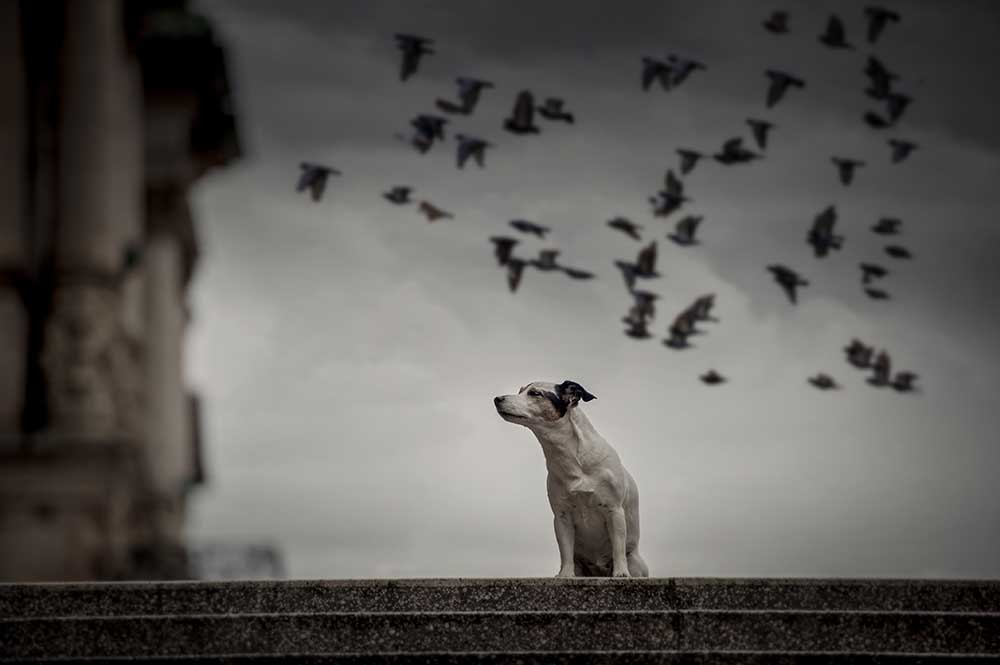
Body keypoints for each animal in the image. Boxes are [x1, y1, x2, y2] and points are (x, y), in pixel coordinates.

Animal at [494, 378, 648, 576]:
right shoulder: (562, 517)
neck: (573, 458)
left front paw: (621, 573)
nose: (497, 399)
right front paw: (565, 575)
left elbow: (618, 547)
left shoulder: (614, 511)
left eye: (535, 393)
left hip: (635, 562)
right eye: (520, 390)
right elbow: (565, 551)